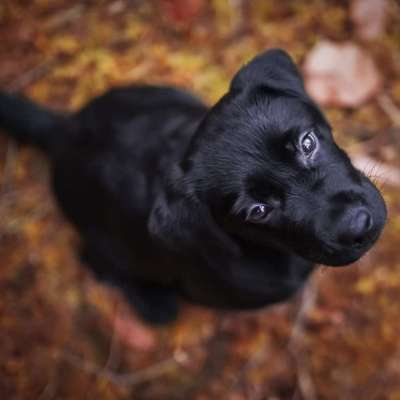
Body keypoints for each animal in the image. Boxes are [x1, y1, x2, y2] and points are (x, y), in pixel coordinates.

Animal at [0, 50, 388, 324]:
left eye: (308, 143)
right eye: (257, 211)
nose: (358, 227)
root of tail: (62, 132)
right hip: (109, 243)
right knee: (93, 259)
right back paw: (153, 302)